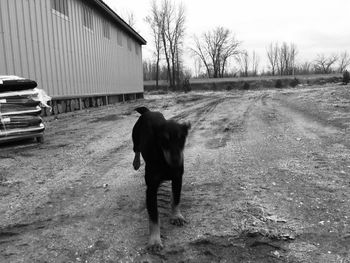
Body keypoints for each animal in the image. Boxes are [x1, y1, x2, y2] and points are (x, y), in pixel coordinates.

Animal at [132, 106, 191, 252]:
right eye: (164, 140)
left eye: (182, 139)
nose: (176, 161)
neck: (164, 160)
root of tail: (148, 111)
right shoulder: (151, 189)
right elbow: (154, 217)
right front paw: (154, 241)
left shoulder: (177, 179)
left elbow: (176, 199)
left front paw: (176, 216)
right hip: (135, 136)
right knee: (136, 149)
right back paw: (136, 163)